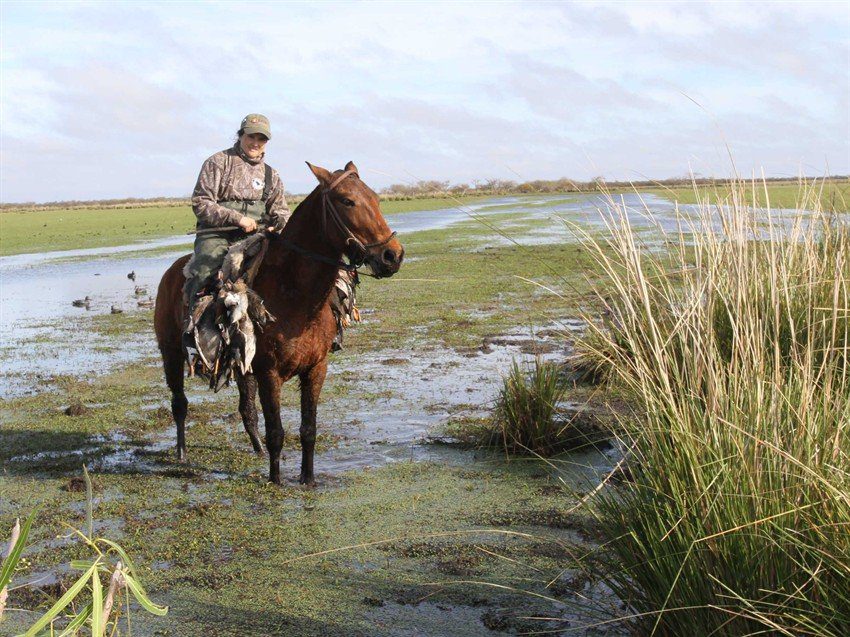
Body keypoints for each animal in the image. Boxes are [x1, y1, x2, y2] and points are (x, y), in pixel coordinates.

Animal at [155, 161, 404, 484]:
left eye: (375, 198)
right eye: (347, 201)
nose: (392, 255)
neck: (294, 295)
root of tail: (172, 272)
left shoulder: (315, 369)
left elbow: (308, 429)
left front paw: (308, 479)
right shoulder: (269, 374)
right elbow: (276, 431)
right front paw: (275, 480)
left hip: (242, 366)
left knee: (246, 410)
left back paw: (256, 449)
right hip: (171, 353)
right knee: (180, 404)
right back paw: (182, 453)